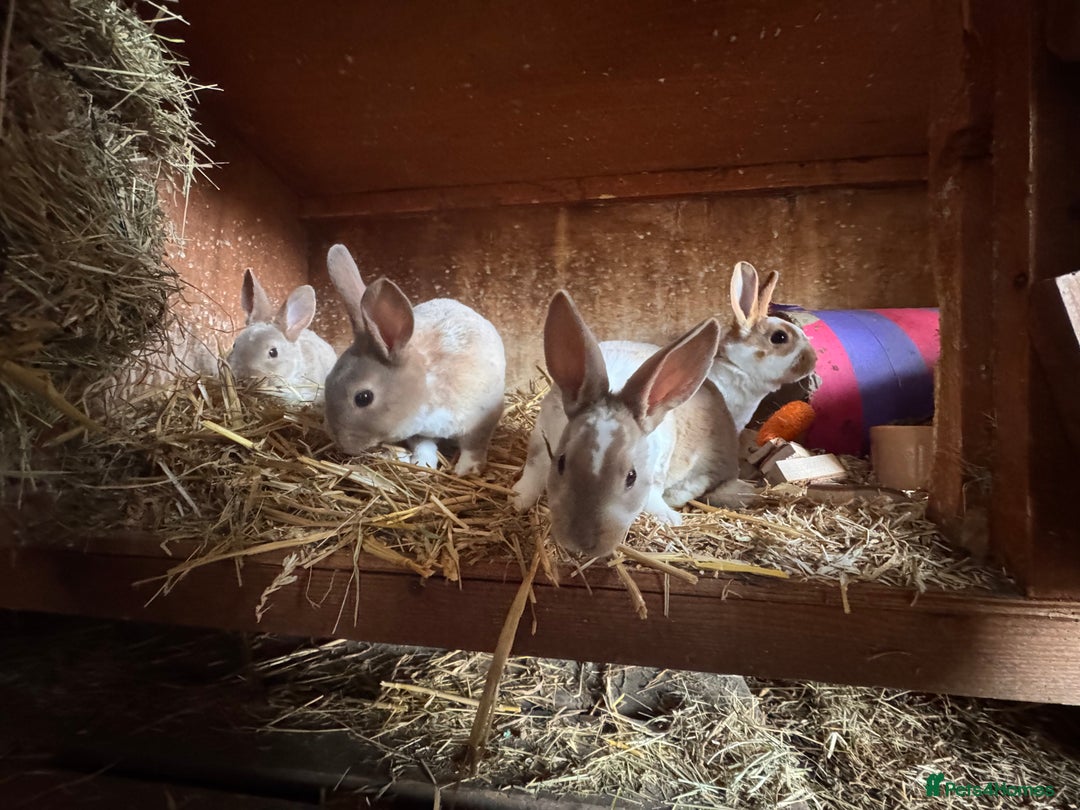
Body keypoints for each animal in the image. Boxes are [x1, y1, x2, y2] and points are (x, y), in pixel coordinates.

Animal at [323, 243, 506, 476]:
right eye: (327, 381)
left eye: (363, 398)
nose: (342, 444)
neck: (426, 386)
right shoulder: (420, 432)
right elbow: (424, 445)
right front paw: (421, 466)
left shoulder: (481, 420)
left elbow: (474, 446)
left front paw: (466, 470)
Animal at [512, 290, 731, 557]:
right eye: (561, 462)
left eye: (631, 477)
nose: (581, 544)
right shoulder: (542, 435)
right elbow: (534, 468)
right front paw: (518, 499)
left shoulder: (659, 465)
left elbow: (653, 492)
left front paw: (668, 518)